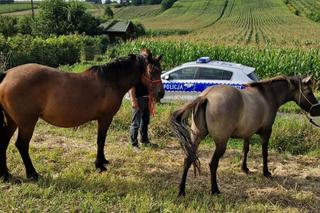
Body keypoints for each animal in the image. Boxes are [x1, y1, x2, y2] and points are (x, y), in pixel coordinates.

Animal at [0, 50, 164, 181]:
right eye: (151, 71)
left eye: (160, 70)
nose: (160, 93)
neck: (111, 81)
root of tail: (7, 74)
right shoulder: (105, 118)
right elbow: (100, 140)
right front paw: (99, 165)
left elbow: (102, 141)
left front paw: (103, 161)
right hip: (27, 123)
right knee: (21, 145)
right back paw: (33, 174)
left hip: (12, 121)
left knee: (4, 142)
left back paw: (6, 175)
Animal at [171, 75, 320, 196]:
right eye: (309, 91)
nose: (316, 110)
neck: (267, 96)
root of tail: (205, 96)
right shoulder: (266, 132)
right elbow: (264, 153)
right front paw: (266, 172)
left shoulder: (247, 133)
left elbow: (245, 150)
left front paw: (244, 168)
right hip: (221, 143)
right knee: (212, 164)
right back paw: (215, 190)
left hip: (196, 137)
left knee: (188, 160)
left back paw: (181, 190)